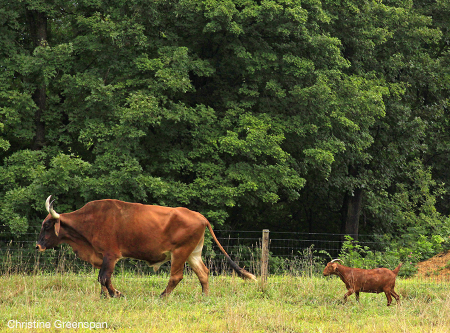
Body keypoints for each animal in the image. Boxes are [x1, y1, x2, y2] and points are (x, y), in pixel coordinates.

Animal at [37, 195, 255, 296]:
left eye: (47, 225)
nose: (38, 246)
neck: (91, 220)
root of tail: (200, 216)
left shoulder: (110, 255)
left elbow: (104, 278)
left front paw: (116, 294)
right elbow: (102, 279)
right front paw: (106, 295)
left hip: (180, 252)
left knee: (176, 276)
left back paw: (162, 296)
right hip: (193, 253)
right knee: (204, 273)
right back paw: (204, 296)